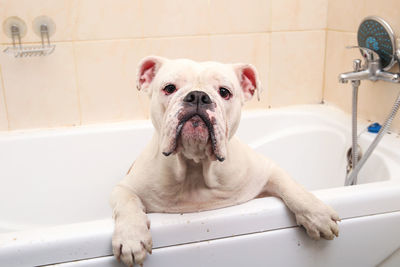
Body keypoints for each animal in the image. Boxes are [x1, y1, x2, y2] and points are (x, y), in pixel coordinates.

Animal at [108, 55, 338, 266]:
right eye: (169, 88)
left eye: (224, 92)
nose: (198, 96)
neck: (195, 167)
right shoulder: (125, 187)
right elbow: (128, 203)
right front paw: (131, 237)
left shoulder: (267, 171)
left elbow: (293, 188)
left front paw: (317, 214)